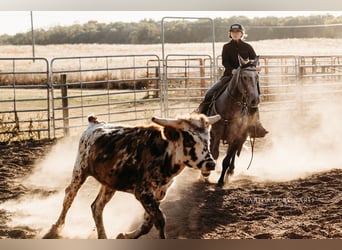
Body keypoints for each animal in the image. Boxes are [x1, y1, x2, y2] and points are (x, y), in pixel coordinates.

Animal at [207, 55, 260, 188]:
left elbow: (226, 160)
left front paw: (220, 181)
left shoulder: (235, 136)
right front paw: (205, 175)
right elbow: (214, 154)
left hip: (240, 138)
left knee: (233, 154)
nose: (254, 100)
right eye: (244, 77)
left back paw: (230, 172)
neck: (229, 108)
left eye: (257, 76)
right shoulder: (215, 134)